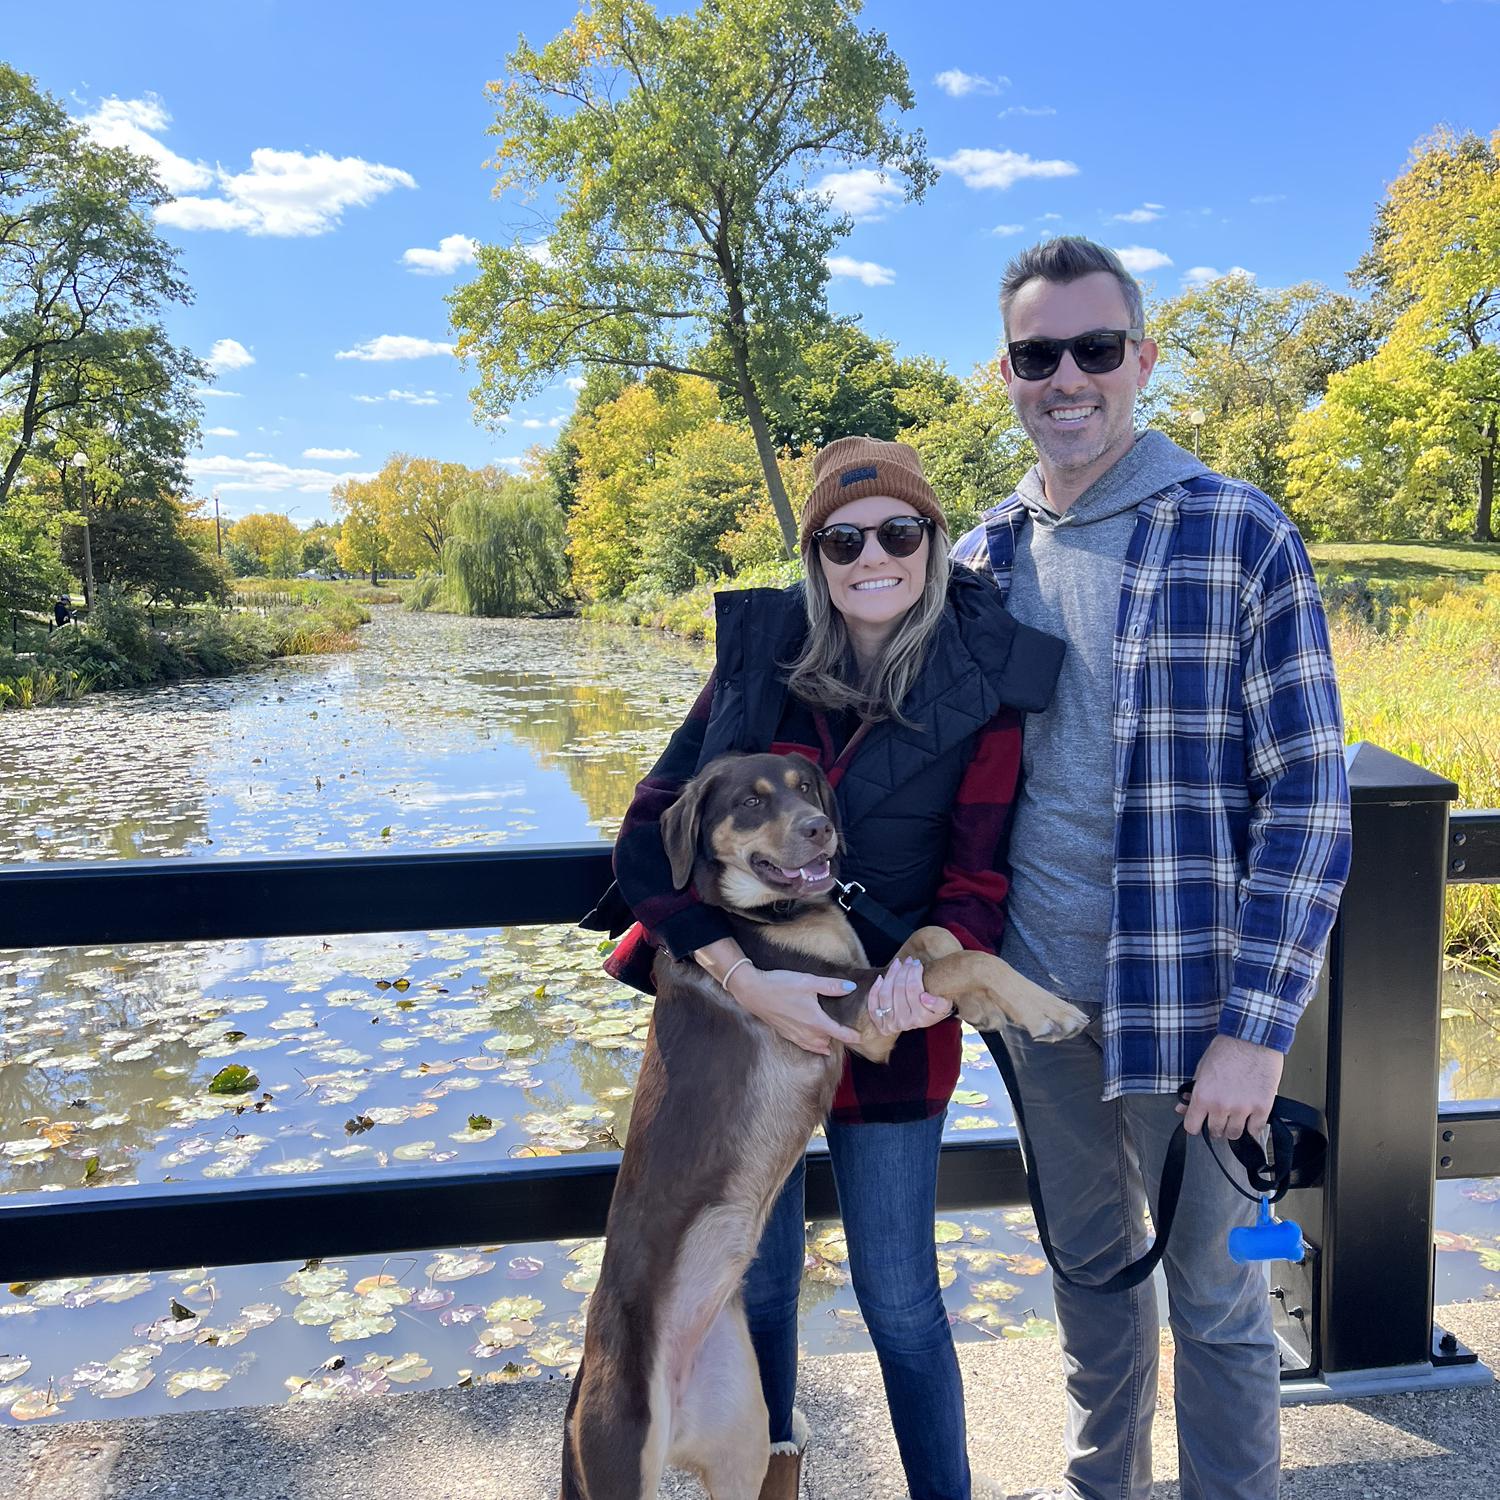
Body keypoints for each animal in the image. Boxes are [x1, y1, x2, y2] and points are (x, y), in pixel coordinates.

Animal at [564, 756, 1092, 1500]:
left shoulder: (874, 990)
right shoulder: (847, 1009)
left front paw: (994, 1008)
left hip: (742, 1435)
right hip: (624, 1456)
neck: (770, 913)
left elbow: (935, 944)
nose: (820, 829)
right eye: (752, 801)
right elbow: (963, 959)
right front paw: (1046, 1008)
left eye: (806, 787)